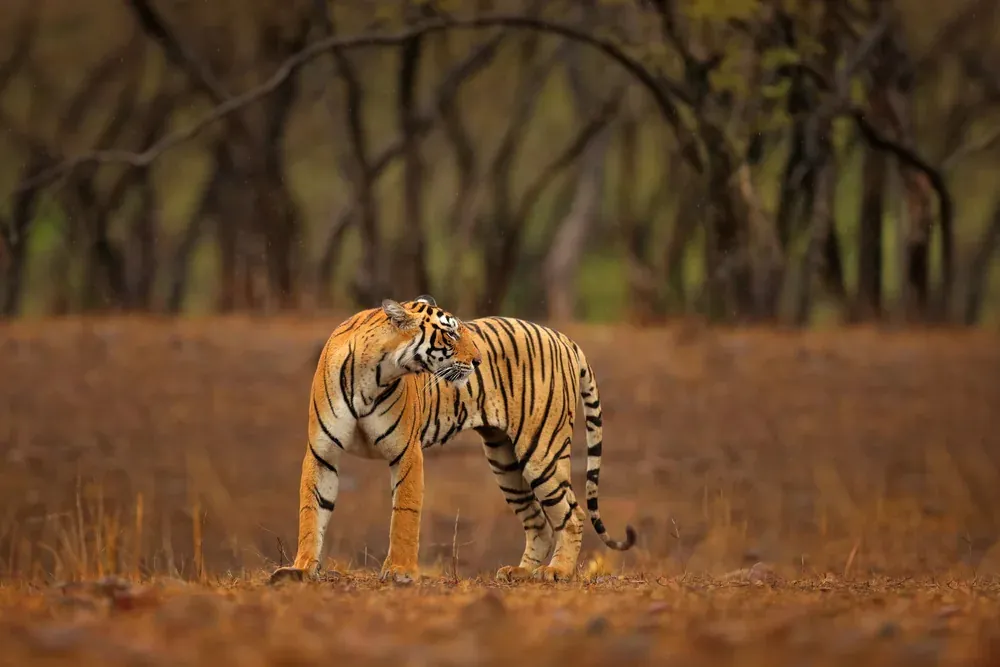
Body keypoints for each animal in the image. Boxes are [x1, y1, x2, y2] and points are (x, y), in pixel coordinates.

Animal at [268, 294, 635, 585]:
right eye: (450, 332)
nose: (478, 361)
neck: (372, 375)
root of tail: (563, 338)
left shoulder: (406, 452)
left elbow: (405, 513)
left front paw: (401, 571)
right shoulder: (322, 452)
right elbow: (311, 511)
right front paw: (301, 568)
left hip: (541, 452)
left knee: (572, 514)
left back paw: (557, 571)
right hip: (505, 462)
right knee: (538, 522)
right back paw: (520, 572)